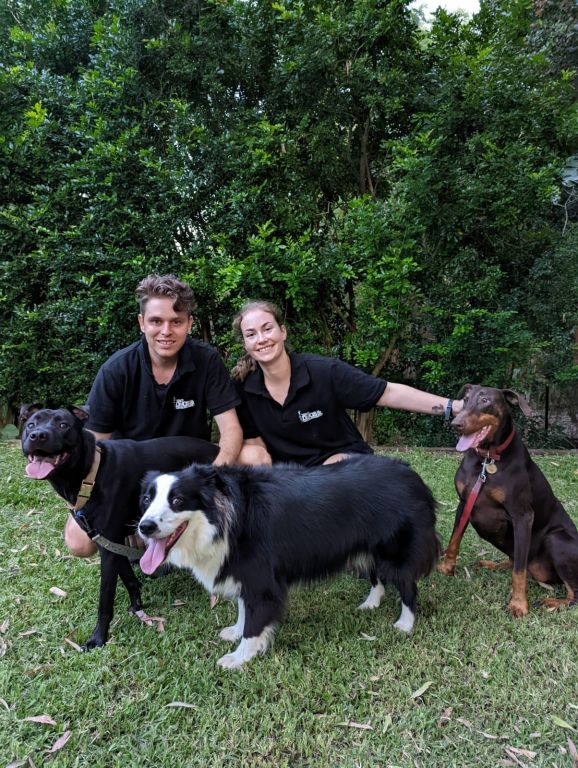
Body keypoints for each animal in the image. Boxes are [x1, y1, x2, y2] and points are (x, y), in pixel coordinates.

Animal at [20, 404, 216, 652]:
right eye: (30, 425)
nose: (38, 435)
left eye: (63, 424)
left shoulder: (108, 551)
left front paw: (98, 638)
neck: (90, 475)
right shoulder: (108, 542)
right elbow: (130, 579)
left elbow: (105, 600)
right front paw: (137, 606)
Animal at [137, 456, 438, 664]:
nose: (145, 527)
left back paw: (405, 624)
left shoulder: (259, 573)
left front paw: (239, 657)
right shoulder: (245, 572)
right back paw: (371, 603)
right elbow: (244, 609)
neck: (223, 518)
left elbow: (255, 618)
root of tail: (412, 476)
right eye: (146, 499)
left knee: (407, 584)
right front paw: (236, 632)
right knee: (377, 575)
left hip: (396, 548)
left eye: (177, 500)